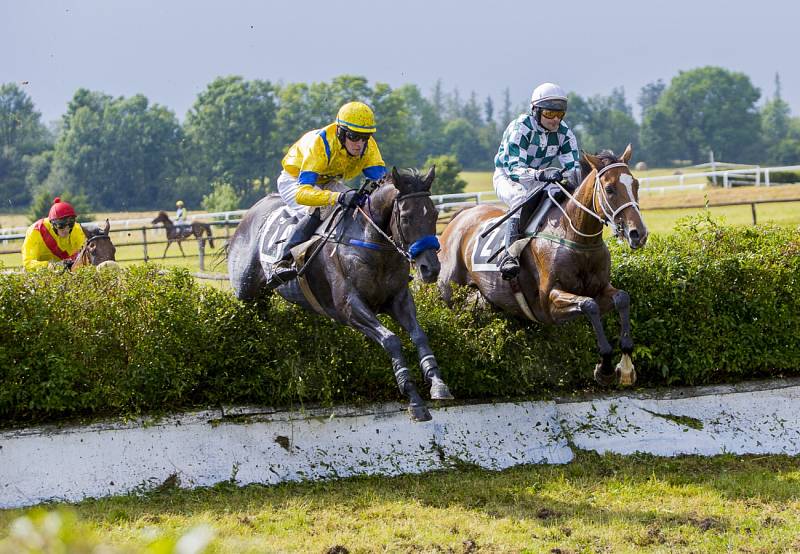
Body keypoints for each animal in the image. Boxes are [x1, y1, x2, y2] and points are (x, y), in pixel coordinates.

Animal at [227, 166, 450, 420]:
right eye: (406, 217)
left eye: (434, 214)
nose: (430, 268)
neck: (370, 242)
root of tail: (248, 215)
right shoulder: (349, 308)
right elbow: (391, 340)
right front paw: (413, 397)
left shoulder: (398, 299)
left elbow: (419, 335)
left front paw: (437, 383)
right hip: (245, 291)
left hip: (261, 298)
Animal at [438, 143, 648, 384]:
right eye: (610, 189)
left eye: (635, 184)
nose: (638, 233)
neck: (575, 236)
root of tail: (457, 219)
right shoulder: (549, 303)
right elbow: (589, 305)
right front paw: (604, 368)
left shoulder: (601, 288)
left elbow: (622, 298)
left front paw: (626, 367)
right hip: (449, 296)